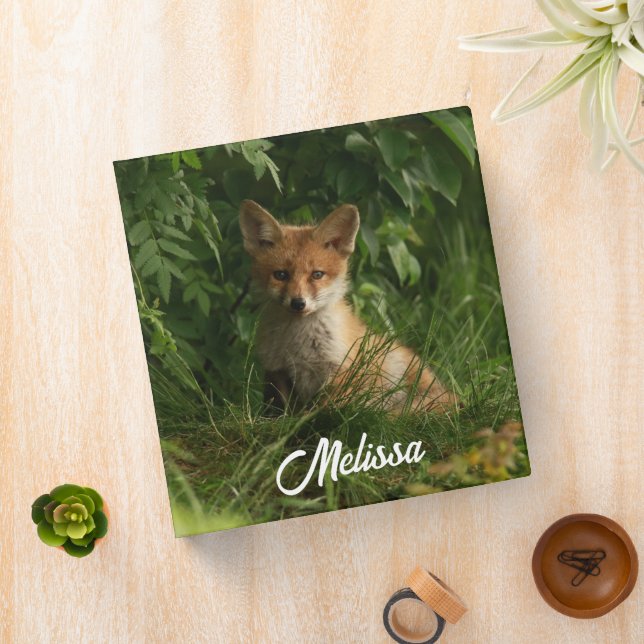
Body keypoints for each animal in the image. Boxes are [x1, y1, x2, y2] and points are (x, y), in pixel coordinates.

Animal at [239, 199, 457, 414]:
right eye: (281, 275)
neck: (297, 345)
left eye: (317, 274)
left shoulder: (340, 370)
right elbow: (280, 412)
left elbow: (325, 411)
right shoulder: (277, 370)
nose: (298, 303)